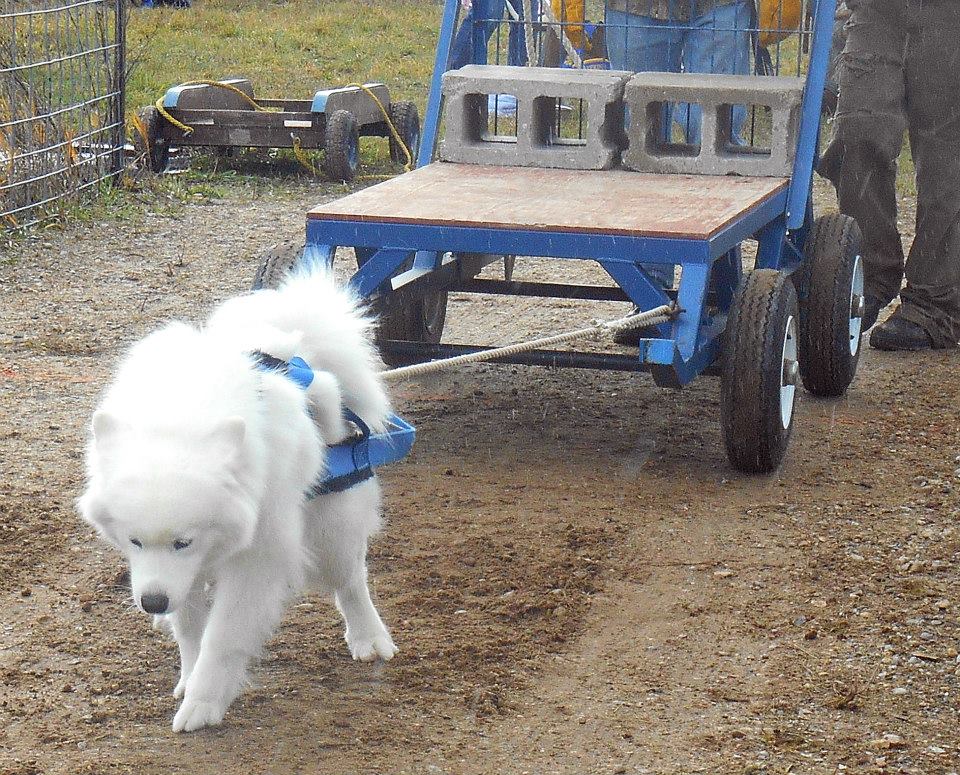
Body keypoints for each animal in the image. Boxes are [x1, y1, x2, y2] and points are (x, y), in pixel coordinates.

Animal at [77, 272, 400, 732]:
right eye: (133, 541)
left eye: (183, 542)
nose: (152, 602)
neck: (181, 420)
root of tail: (295, 344)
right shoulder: (182, 574)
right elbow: (191, 629)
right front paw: (189, 675)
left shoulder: (255, 560)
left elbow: (223, 637)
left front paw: (203, 701)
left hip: (331, 533)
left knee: (351, 581)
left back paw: (369, 637)